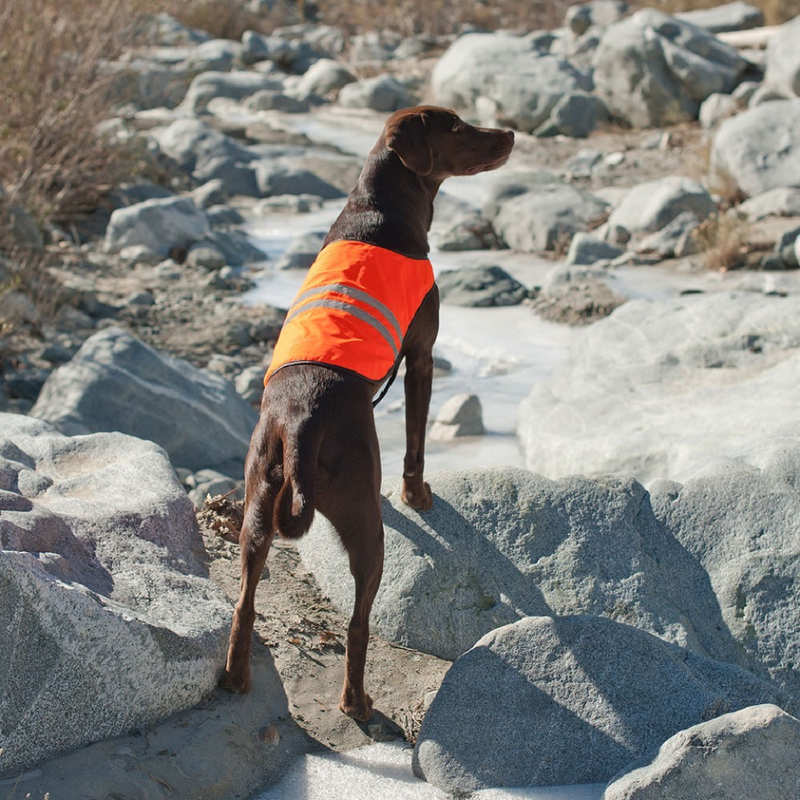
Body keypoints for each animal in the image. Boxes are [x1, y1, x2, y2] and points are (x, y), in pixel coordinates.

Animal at [222, 103, 516, 720]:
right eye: (457, 126)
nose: (509, 132)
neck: (377, 205)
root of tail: (300, 424)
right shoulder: (422, 356)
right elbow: (416, 445)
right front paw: (416, 497)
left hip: (256, 509)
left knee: (244, 602)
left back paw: (236, 677)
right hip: (364, 532)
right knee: (358, 625)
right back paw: (355, 702)